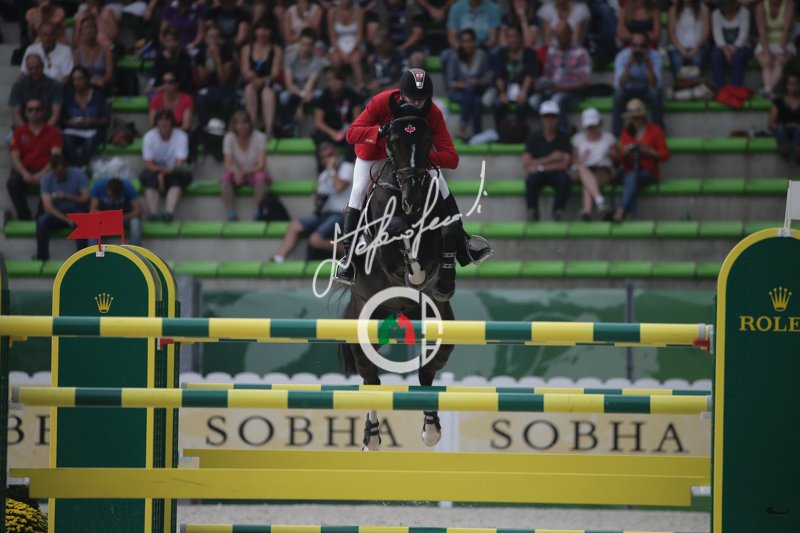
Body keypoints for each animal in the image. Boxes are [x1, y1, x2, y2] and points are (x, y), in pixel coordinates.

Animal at [339, 112, 459, 451]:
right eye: (391, 142)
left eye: (428, 141)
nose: (412, 201)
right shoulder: (385, 249)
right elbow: (397, 235)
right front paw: (412, 267)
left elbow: (444, 235)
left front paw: (436, 278)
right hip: (363, 326)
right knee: (370, 378)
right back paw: (372, 437)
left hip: (439, 322)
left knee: (427, 371)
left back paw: (431, 429)